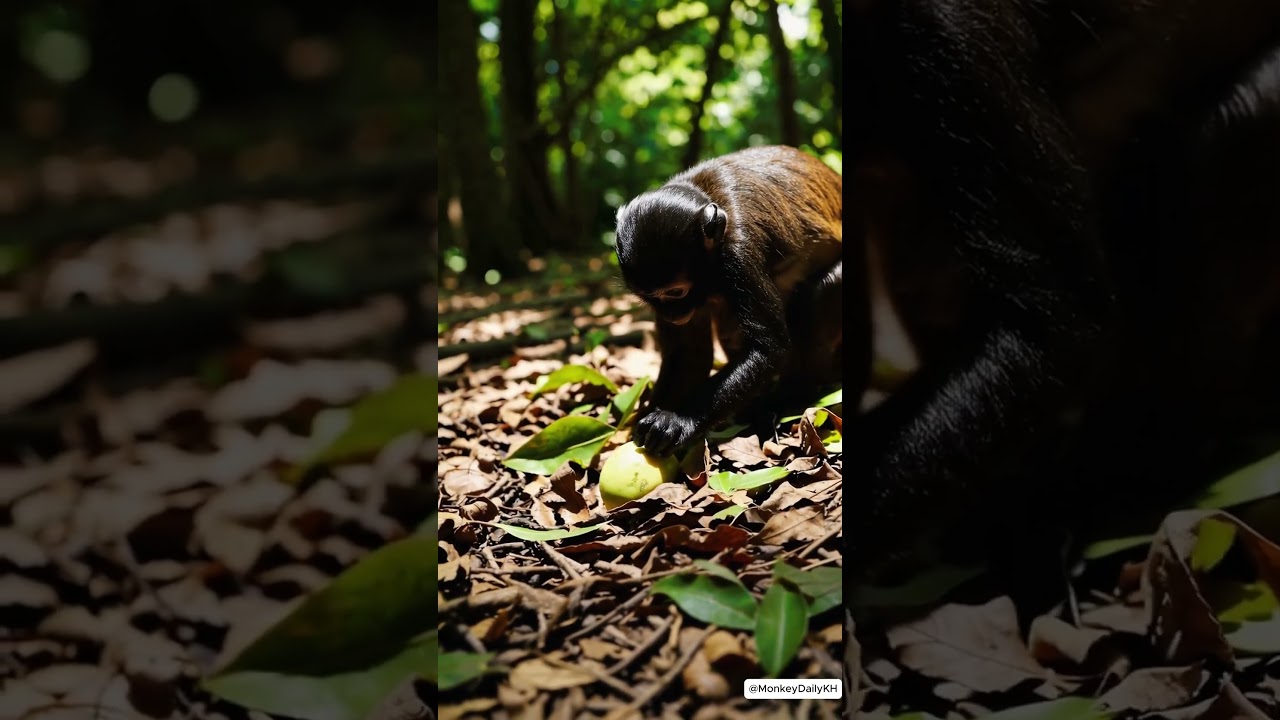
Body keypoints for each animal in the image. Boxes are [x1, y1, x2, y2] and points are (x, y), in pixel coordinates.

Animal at [613, 145, 855, 457]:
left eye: (676, 293)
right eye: (650, 297)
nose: (672, 315)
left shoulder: (738, 252)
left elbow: (768, 351)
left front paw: (678, 421)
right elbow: (690, 355)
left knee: (816, 298)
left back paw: (788, 398)